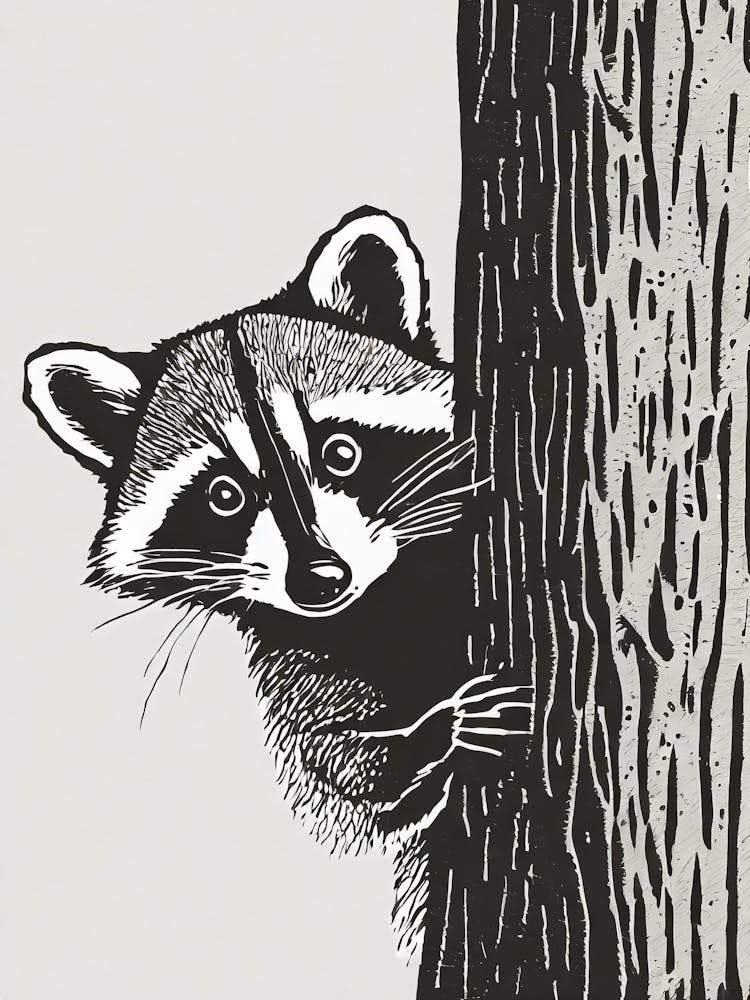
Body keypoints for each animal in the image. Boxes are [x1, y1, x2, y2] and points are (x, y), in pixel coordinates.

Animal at [23, 207, 531, 932]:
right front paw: (426, 740)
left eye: (341, 451)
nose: (321, 579)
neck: (377, 606)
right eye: (225, 494)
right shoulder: (296, 652)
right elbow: (331, 761)